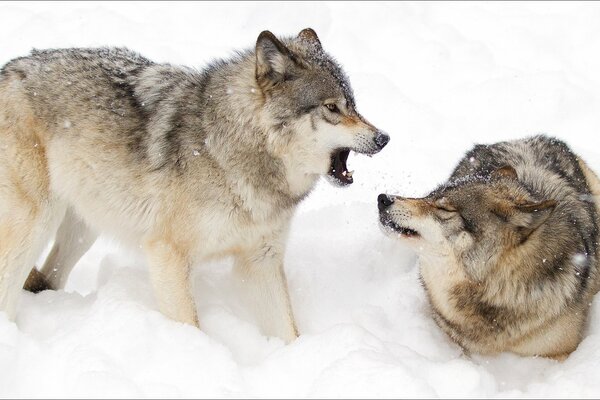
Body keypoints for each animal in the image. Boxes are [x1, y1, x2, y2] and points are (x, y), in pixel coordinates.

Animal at [0, 28, 390, 342]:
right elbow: (190, 325)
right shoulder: (168, 254)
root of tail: (7, 69)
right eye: (332, 108)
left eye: (354, 105)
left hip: (85, 227)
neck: (231, 154)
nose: (384, 138)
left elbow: (288, 331)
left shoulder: (261, 260)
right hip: (36, 223)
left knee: (44, 280)